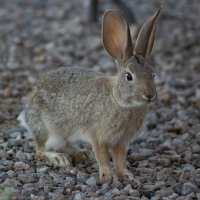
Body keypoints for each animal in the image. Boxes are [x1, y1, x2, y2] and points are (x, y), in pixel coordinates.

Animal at [18, 9, 160, 183]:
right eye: (129, 76)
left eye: (153, 74)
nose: (150, 95)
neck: (119, 100)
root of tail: (27, 111)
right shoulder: (97, 136)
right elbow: (102, 157)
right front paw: (107, 177)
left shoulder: (121, 141)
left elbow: (120, 159)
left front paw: (127, 176)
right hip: (47, 129)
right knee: (39, 150)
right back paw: (59, 158)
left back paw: (81, 154)